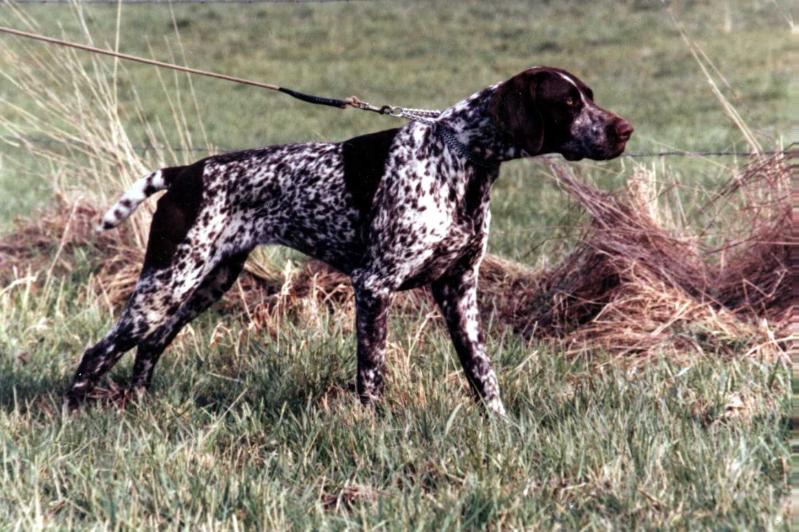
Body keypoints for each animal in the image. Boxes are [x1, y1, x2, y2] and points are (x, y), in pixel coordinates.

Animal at [62, 66, 636, 414]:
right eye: (568, 102)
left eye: (590, 97)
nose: (625, 130)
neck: (463, 159)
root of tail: (187, 172)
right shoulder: (374, 286)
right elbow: (372, 373)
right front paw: (376, 428)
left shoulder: (459, 292)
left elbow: (483, 375)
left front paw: (501, 428)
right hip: (167, 282)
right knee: (98, 351)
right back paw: (71, 412)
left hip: (205, 283)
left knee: (150, 345)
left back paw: (138, 406)